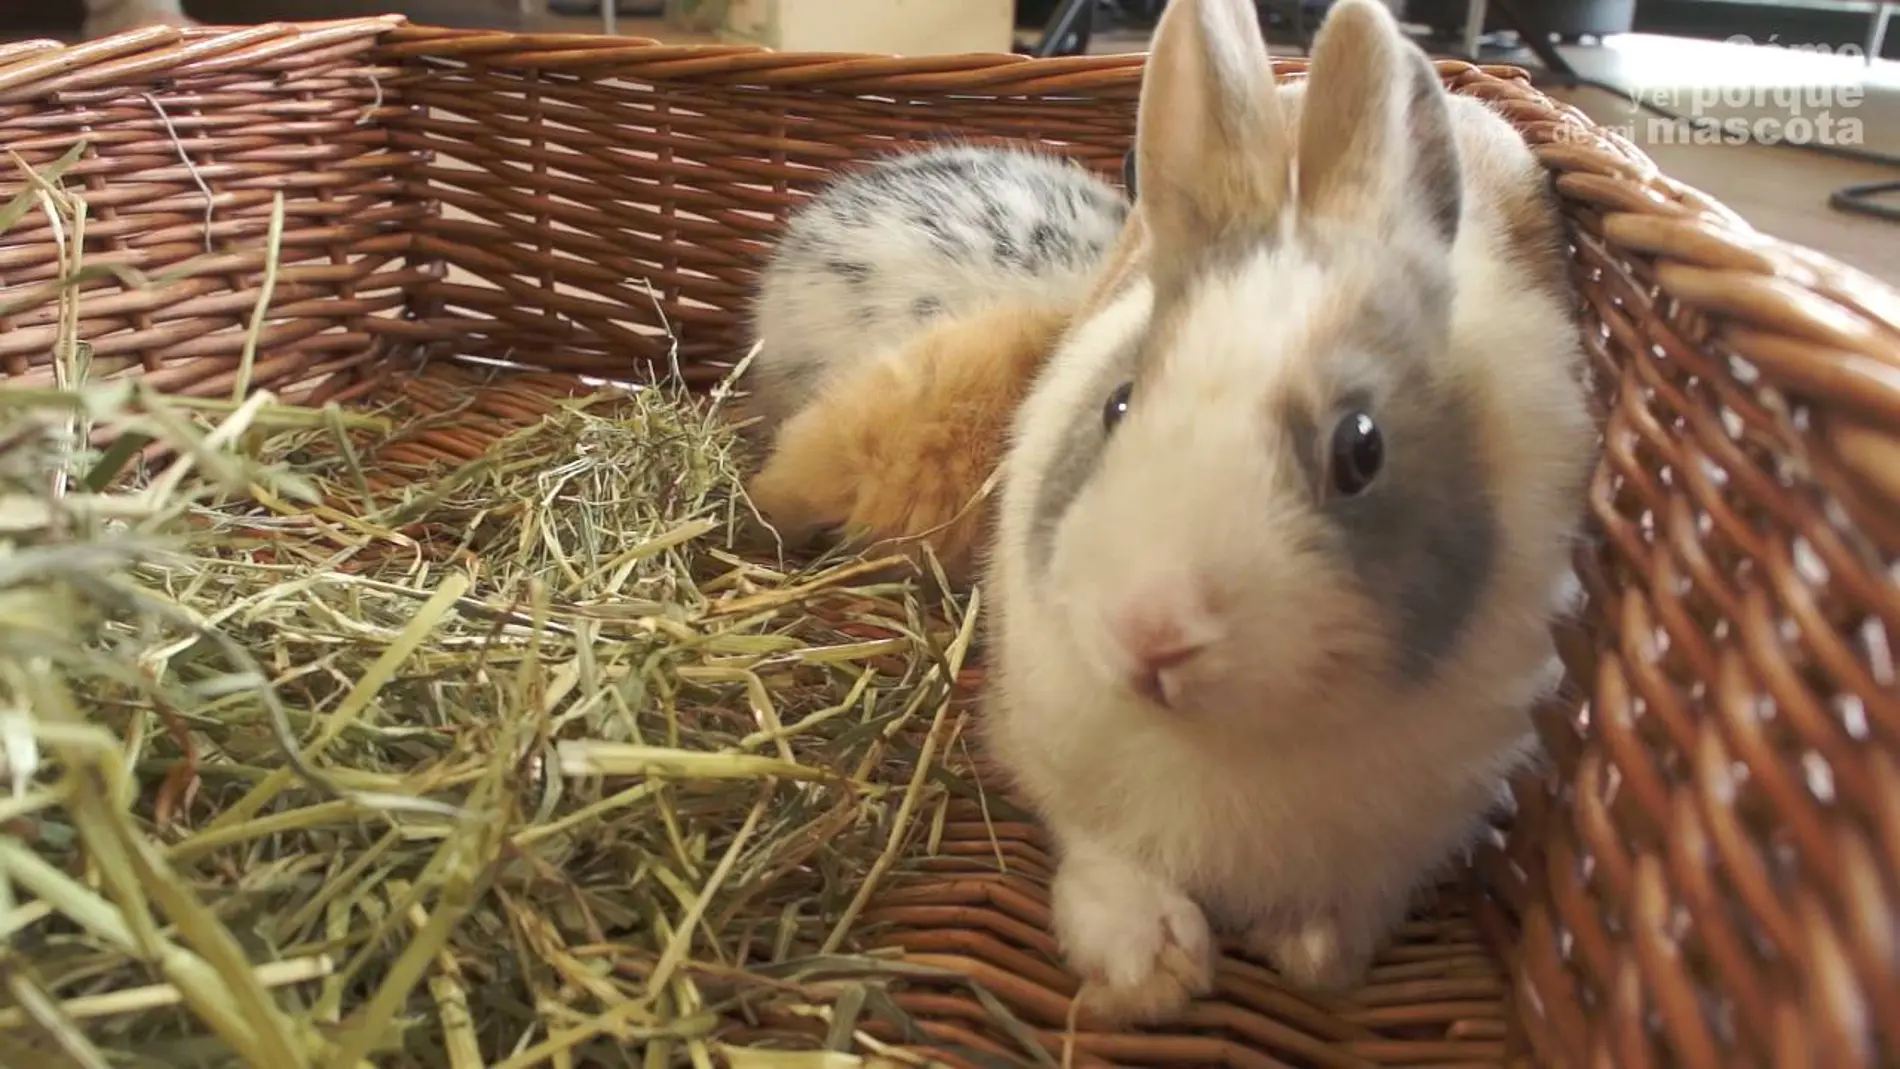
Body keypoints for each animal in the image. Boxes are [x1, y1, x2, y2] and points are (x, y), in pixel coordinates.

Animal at [978, 0, 1596, 1031]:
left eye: (1361, 449)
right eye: (1117, 405)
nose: (1153, 633)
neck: (1225, 742)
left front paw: (1310, 952)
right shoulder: (1056, 758)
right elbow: (1104, 855)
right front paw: (1150, 966)